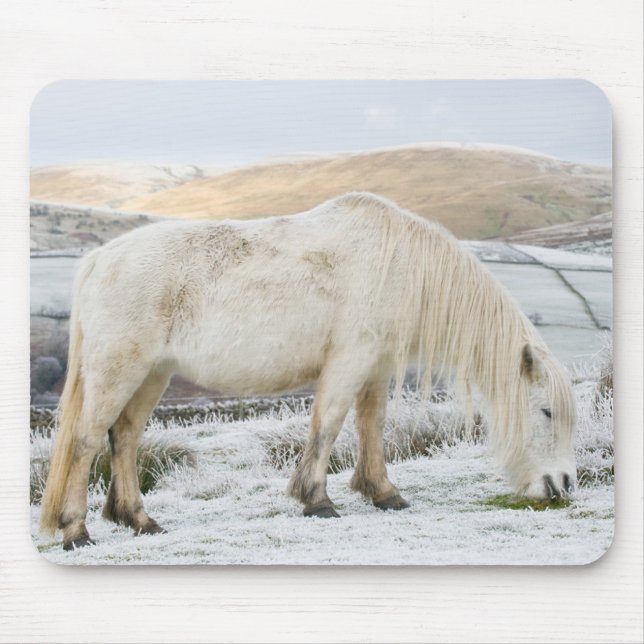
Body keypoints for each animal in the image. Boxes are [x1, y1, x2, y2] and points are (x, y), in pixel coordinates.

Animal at [39, 192, 577, 550]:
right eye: (546, 412)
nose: (565, 484)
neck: (399, 262)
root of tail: (98, 260)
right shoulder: (351, 359)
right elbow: (329, 424)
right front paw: (317, 499)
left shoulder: (376, 366)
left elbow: (371, 425)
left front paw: (382, 492)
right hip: (119, 370)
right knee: (87, 441)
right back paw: (77, 530)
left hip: (153, 374)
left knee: (125, 438)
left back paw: (139, 520)